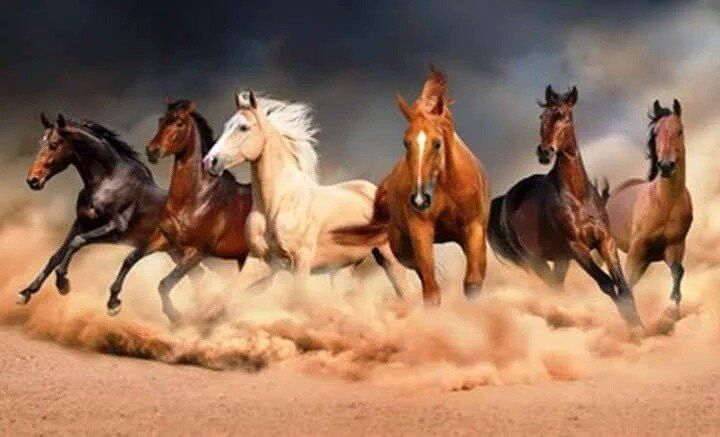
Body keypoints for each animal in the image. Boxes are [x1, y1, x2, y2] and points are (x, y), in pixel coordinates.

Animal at [108, 100, 255, 320]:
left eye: (179, 123)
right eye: (161, 120)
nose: (152, 150)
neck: (196, 199)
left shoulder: (196, 252)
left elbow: (164, 284)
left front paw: (175, 317)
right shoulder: (164, 237)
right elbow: (130, 259)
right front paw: (113, 302)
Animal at [205, 90, 414, 298]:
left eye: (244, 127)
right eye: (227, 126)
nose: (210, 162)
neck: (276, 204)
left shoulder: (300, 261)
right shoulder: (258, 260)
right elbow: (229, 295)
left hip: (389, 258)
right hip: (343, 268)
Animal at [332, 69, 490, 306]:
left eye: (437, 143)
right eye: (406, 143)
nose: (420, 200)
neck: (447, 186)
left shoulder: (473, 228)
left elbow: (472, 283)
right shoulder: (420, 230)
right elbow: (431, 290)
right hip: (401, 248)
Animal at [486, 85, 644, 326]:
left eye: (562, 115)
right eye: (542, 117)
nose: (544, 152)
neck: (578, 197)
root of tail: (504, 200)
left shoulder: (605, 241)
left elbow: (623, 287)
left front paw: (641, 327)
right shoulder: (577, 248)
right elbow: (608, 285)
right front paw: (634, 329)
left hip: (560, 260)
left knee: (557, 286)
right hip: (534, 261)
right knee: (553, 287)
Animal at [604, 100, 696, 308]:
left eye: (679, 131)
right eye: (656, 133)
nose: (666, 166)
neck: (664, 203)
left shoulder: (674, 247)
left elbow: (678, 271)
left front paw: (672, 307)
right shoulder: (636, 250)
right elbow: (626, 286)